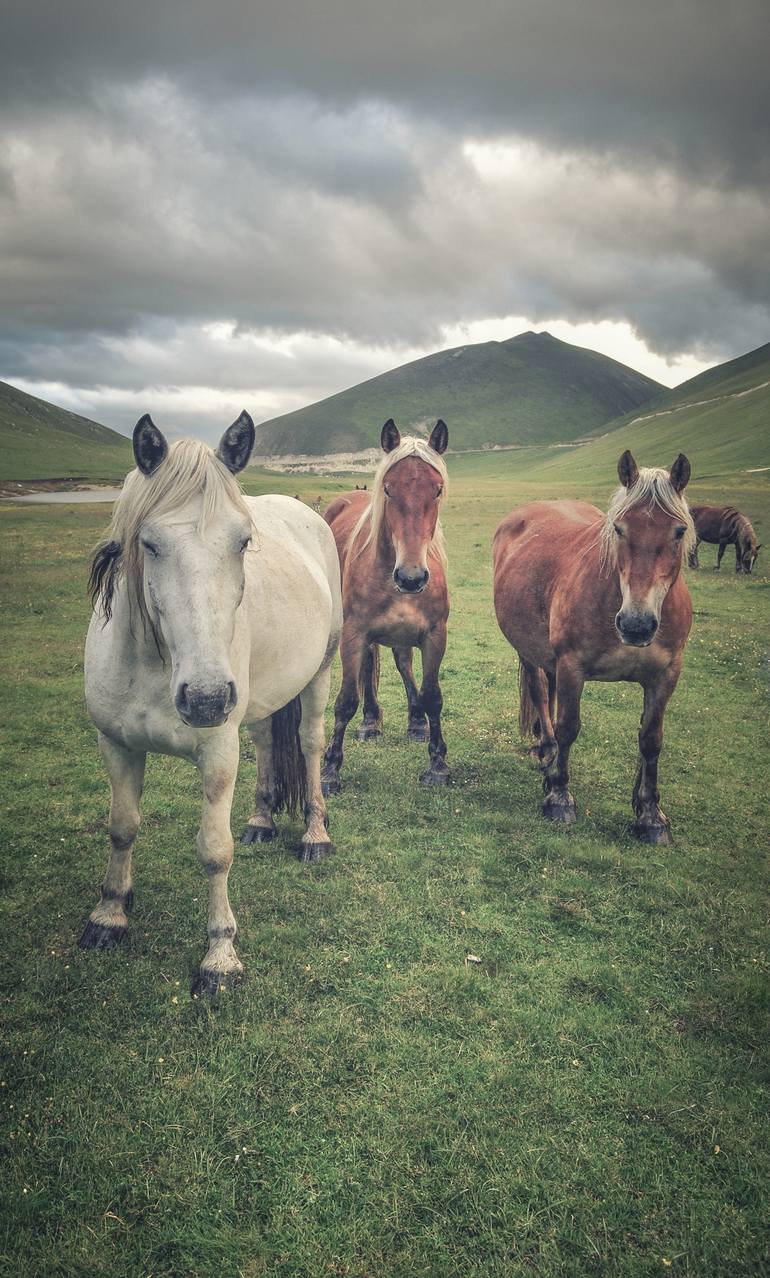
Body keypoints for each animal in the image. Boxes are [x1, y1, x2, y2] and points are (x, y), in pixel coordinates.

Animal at [79, 414, 342, 991]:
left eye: (243, 542)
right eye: (149, 544)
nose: (205, 699)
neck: (155, 664)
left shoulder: (218, 754)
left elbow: (215, 851)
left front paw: (220, 956)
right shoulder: (116, 746)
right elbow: (121, 827)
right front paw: (109, 913)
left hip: (318, 674)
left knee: (310, 745)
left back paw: (314, 834)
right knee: (265, 741)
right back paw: (262, 821)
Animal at [320, 419, 452, 792]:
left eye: (437, 489)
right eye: (389, 490)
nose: (411, 577)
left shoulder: (434, 635)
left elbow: (433, 695)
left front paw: (437, 764)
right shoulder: (353, 634)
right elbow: (346, 700)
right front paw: (330, 768)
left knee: (402, 664)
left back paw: (416, 721)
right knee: (368, 666)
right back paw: (370, 721)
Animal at [492, 454, 699, 843]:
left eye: (679, 531)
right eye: (619, 528)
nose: (636, 624)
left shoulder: (666, 675)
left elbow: (651, 739)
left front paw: (650, 815)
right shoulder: (572, 665)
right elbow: (569, 726)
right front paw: (559, 796)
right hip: (528, 649)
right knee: (541, 693)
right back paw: (547, 753)